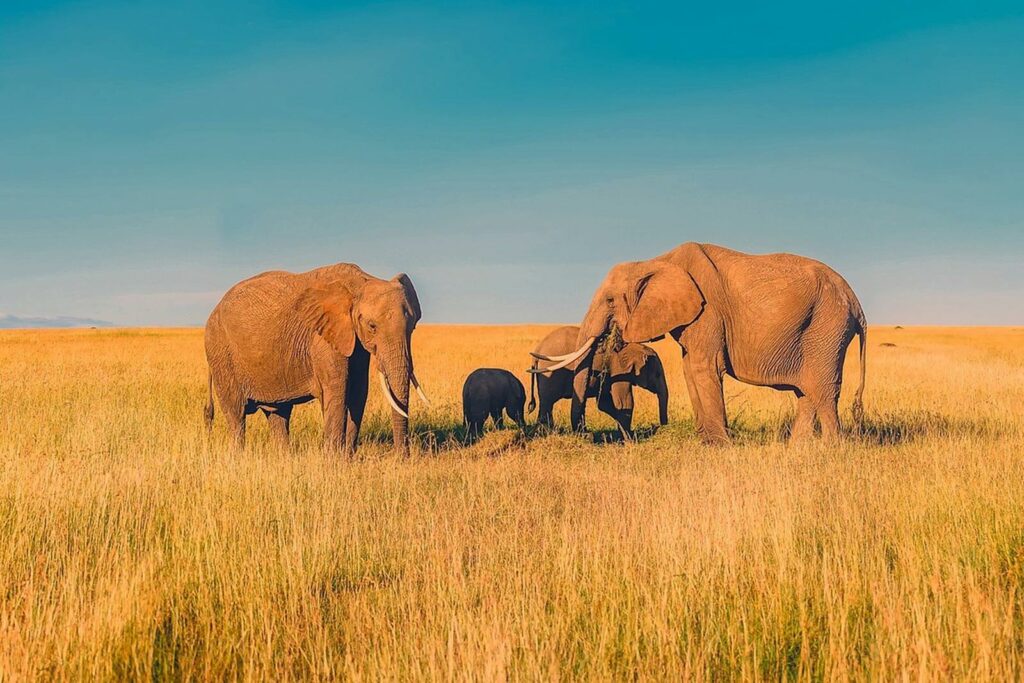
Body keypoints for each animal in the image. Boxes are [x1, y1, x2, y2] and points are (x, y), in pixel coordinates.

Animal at [204, 263, 427, 455]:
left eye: (413, 327)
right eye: (372, 326)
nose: (402, 458)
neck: (360, 282)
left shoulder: (353, 340)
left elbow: (358, 391)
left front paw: (347, 459)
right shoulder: (322, 339)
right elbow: (338, 392)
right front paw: (334, 462)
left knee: (278, 414)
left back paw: (285, 458)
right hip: (220, 353)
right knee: (237, 416)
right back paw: (238, 456)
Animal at [527, 325, 668, 438]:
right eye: (657, 375)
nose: (662, 425)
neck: (637, 347)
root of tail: (538, 350)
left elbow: (603, 403)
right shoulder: (619, 369)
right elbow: (624, 402)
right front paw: (630, 439)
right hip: (551, 374)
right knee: (547, 402)